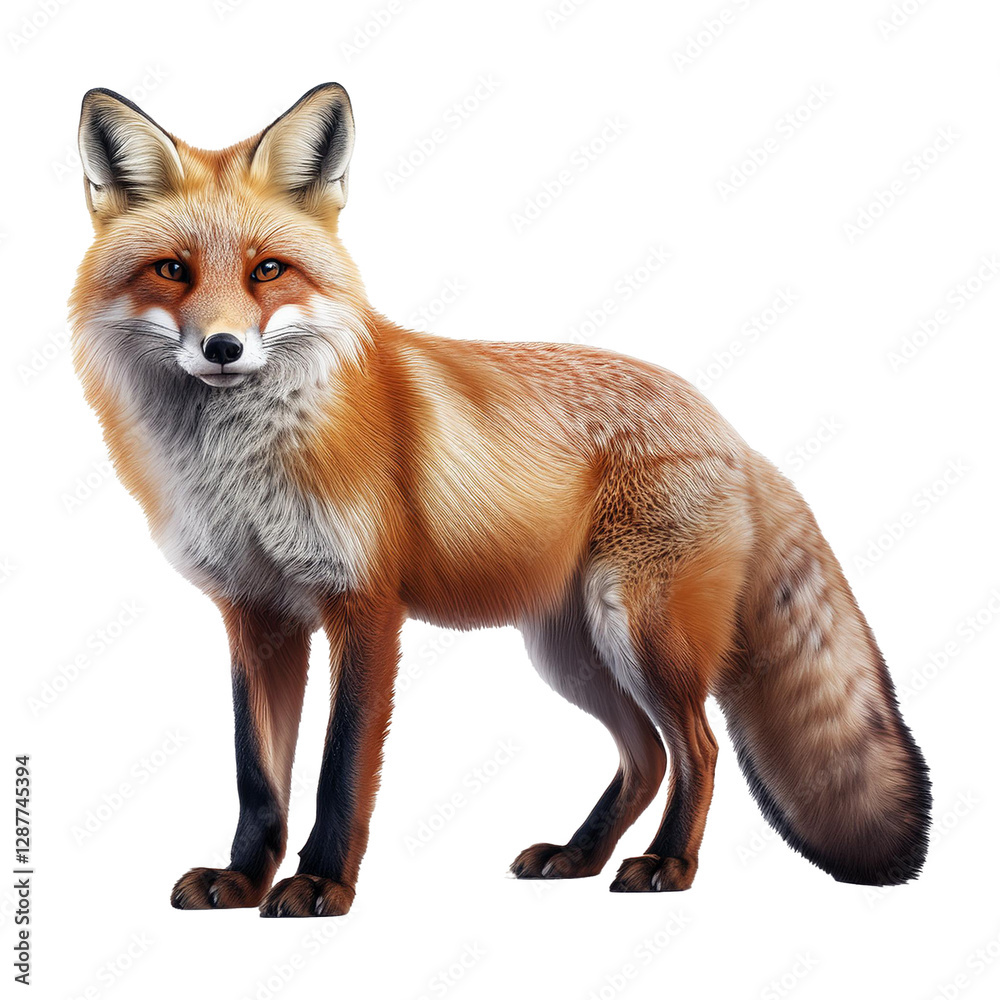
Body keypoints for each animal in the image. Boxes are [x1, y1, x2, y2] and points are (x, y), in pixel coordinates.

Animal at [69, 83, 931, 918]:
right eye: (172, 271)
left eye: (268, 271)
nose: (223, 348)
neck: (241, 467)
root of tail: (729, 427)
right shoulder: (256, 616)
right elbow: (258, 778)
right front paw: (243, 881)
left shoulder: (364, 605)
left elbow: (339, 769)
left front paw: (320, 885)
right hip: (572, 654)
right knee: (647, 756)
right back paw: (580, 857)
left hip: (640, 629)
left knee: (700, 747)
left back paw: (668, 864)